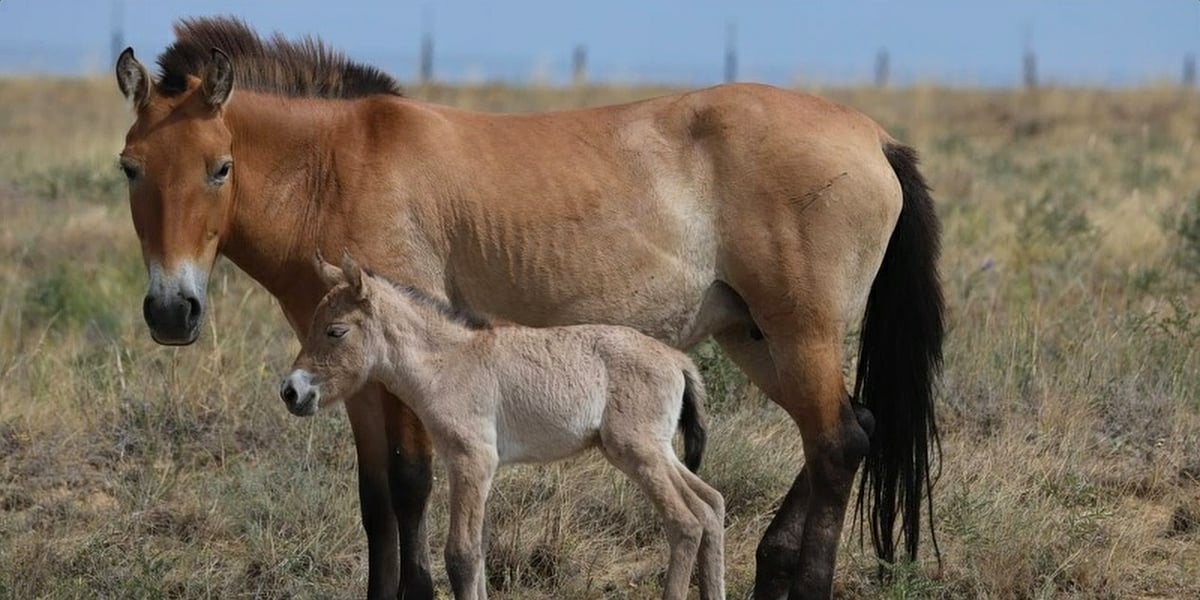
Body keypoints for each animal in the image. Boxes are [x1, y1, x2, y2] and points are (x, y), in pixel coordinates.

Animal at [279, 252, 723, 600]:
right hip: (656, 451)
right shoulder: (470, 467)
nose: (291, 392)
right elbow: (476, 554)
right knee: (711, 506)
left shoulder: (472, 460)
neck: (447, 364)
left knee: (686, 522)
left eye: (336, 331)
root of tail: (677, 359)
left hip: (638, 451)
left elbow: (460, 555)